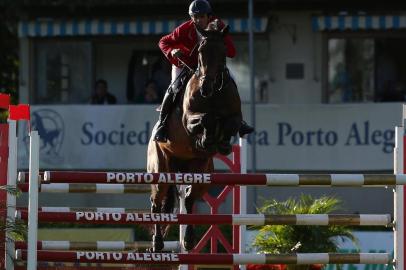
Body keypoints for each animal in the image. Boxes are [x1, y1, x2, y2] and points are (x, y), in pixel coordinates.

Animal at [148, 21, 241, 253]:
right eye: (200, 51)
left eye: (223, 51)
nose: (206, 88)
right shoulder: (188, 120)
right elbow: (206, 118)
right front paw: (206, 138)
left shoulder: (235, 116)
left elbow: (231, 123)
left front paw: (222, 143)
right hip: (161, 169)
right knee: (156, 203)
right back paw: (157, 243)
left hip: (201, 172)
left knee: (189, 199)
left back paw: (189, 240)